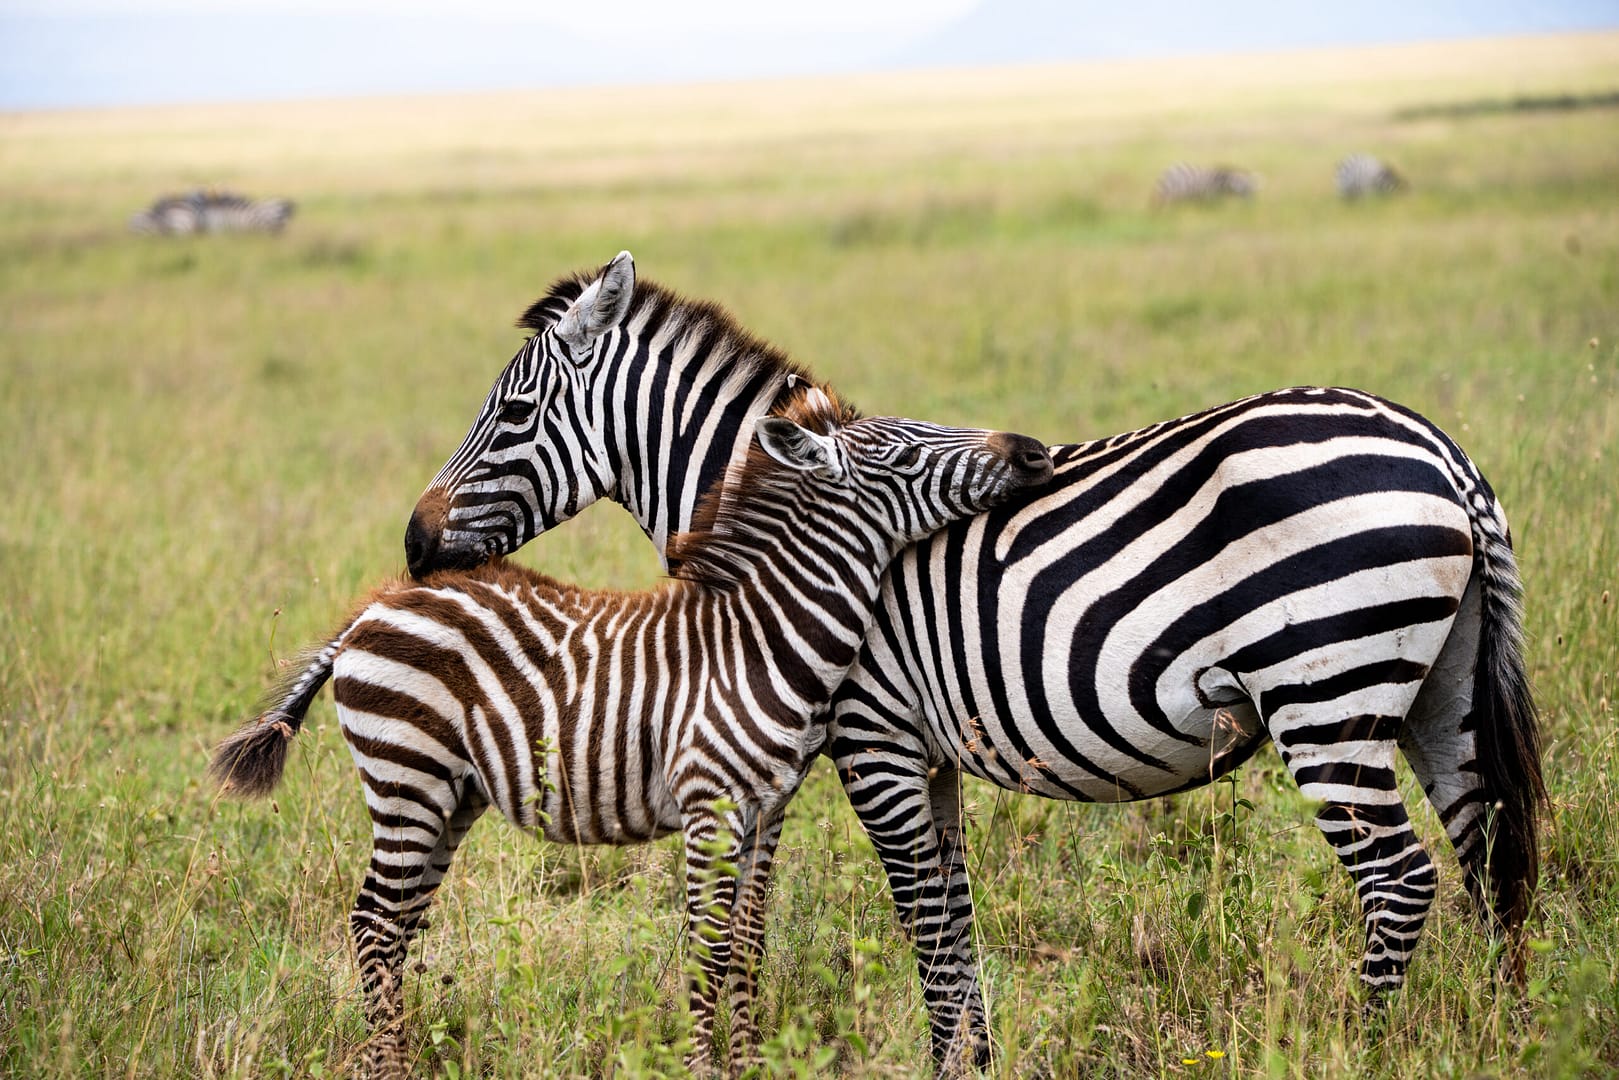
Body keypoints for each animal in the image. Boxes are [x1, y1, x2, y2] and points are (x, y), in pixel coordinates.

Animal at [210, 385, 1054, 1078]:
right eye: (905, 453)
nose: (1033, 450)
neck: (762, 637)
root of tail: (372, 609)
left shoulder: (761, 809)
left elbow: (743, 946)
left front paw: (742, 1065)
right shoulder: (710, 802)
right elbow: (707, 951)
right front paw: (703, 1069)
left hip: (448, 796)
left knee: (396, 927)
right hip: (405, 779)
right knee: (374, 923)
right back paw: (389, 1067)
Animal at [402, 252, 1545, 1074]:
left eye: (510, 415)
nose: (413, 546)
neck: (798, 536)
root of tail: (1438, 450)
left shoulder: (867, 740)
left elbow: (920, 921)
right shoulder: (919, 753)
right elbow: (942, 915)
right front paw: (970, 1061)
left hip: (1322, 694)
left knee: (1398, 879)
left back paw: (1368, 1048)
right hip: (1438, 691)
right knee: (1491, 858)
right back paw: (1508, 1037)